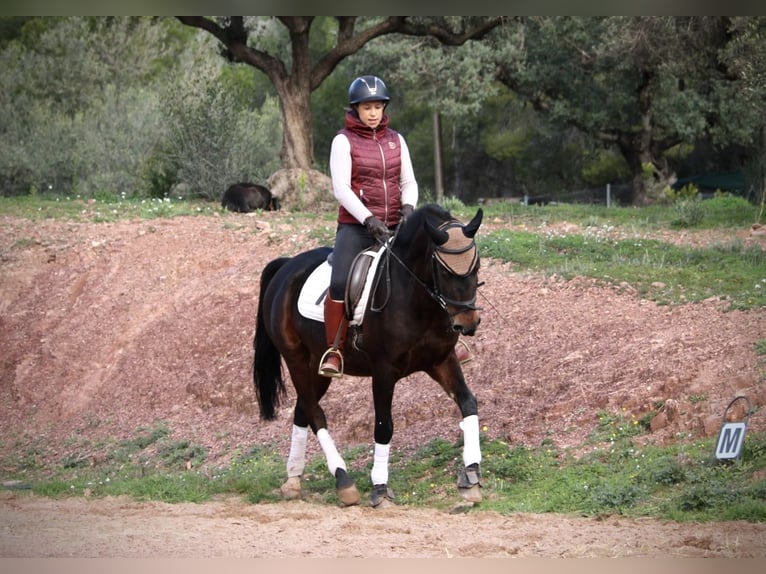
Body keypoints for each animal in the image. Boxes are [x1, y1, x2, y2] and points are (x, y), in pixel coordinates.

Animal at [252, 203, 484, 507]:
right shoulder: (384, 371)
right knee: (315, 413)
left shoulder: (441, 360)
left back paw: (293, 480)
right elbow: (384, 426)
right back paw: (343, 481)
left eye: (476, 266)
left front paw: (472, 475)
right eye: (444, 272)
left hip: (318, 367)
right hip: (296, 360)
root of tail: (288, 265)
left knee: (303, 410)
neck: (415, 298)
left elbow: (468, 403)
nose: (468, 323)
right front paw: (380, 488)